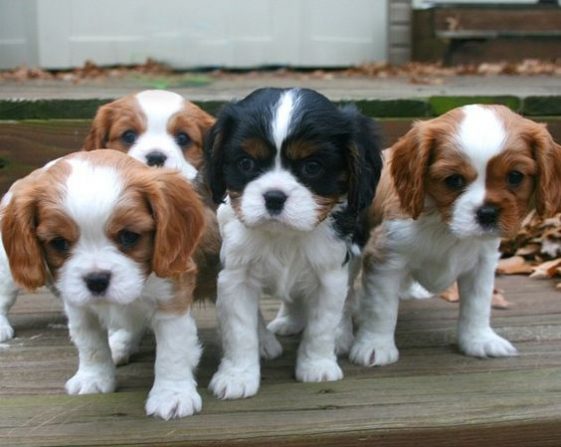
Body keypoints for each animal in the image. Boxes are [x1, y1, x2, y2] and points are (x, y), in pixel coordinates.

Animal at [0, 150, 206, 420]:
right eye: (59, 243)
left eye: (129, 236)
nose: (96, 280)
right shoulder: (79, 307)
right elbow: (91, 344)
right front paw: (94, 379)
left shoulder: (171, 299)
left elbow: (172, 351)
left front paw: (172, 395)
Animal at [203, 86, 382, 400]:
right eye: (246, 163)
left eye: (312, 167)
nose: (274, 197)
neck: (284, 236)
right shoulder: (235, 277)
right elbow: (239, 330)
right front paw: (237, 376)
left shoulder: (330, 274)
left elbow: (322, 324)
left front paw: (317, 366)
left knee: (346, 298)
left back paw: (341, 335)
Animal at [350, 106, 560, 368]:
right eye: (453, 180)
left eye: (515, 177)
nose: (487, 213)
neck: (445, 225)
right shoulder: (385, 259)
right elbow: (381, 308)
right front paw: (375, 346)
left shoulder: (482, 264)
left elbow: (478, 305)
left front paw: (479, 340)